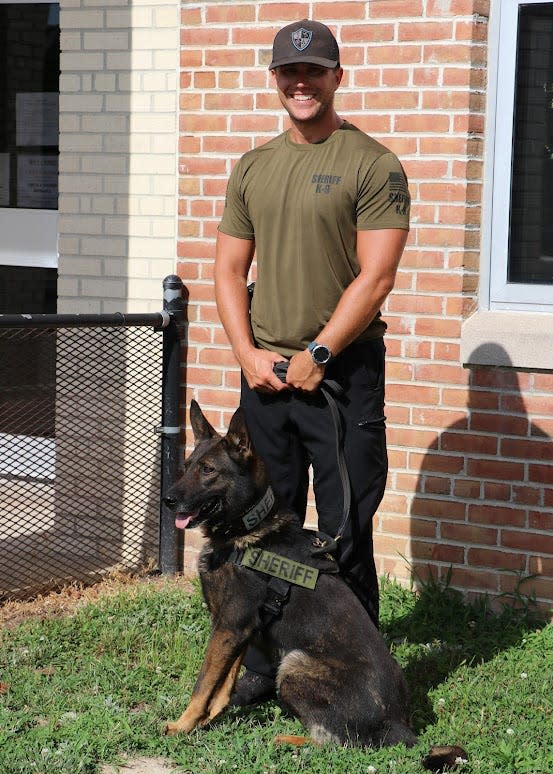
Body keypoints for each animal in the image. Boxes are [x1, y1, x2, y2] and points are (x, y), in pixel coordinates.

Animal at [163, 404, 466, 772]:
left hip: (292, 665)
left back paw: (289, 741)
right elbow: (222, 685)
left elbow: (203, 684)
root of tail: (399, 726)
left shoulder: (229, 626)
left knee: (341, 743)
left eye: (208, 470)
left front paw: (182, 725)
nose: (167, 499)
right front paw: (207, 720)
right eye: (187, 466)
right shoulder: (238, 630)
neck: (247, 527)